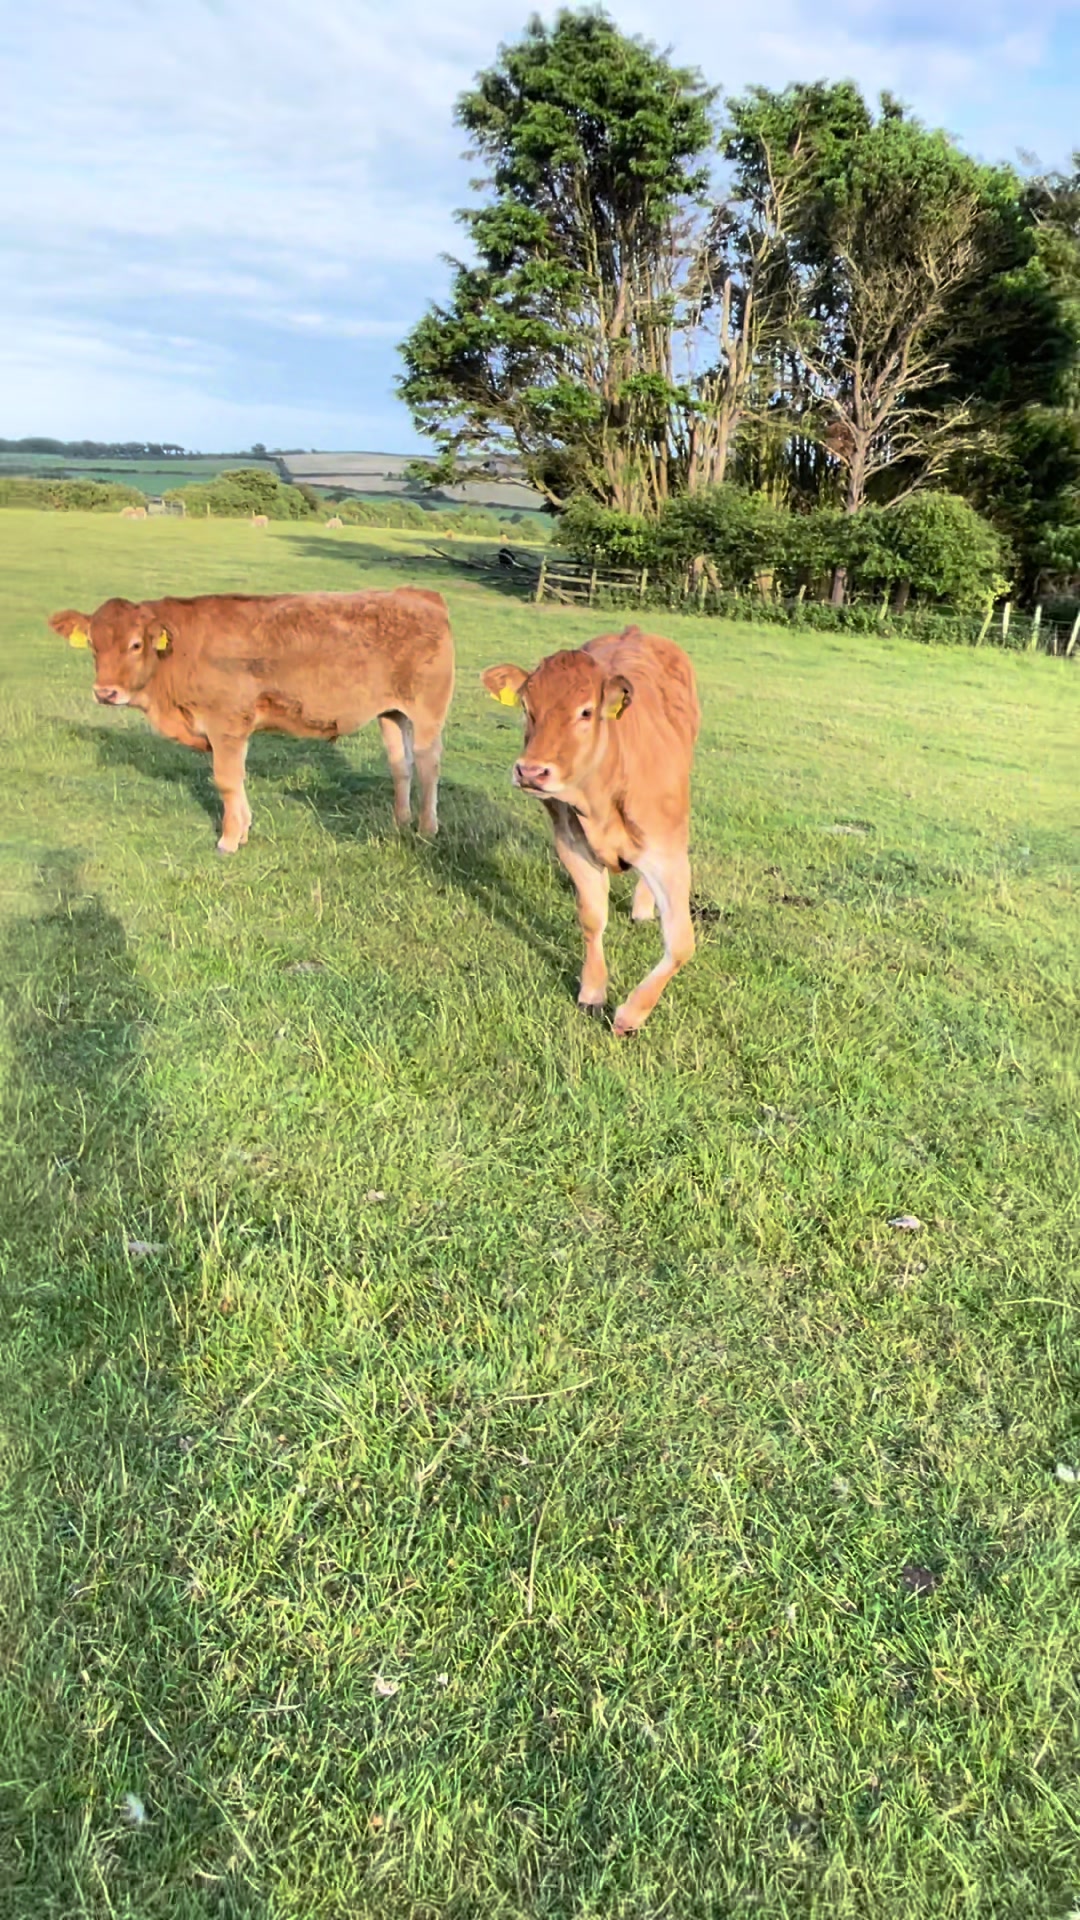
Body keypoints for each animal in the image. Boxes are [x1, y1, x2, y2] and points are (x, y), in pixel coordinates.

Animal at [49, 590, 454, 854]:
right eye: (92, 644)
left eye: (135, 644)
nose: (106, 692)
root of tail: (418, 594)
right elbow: (237, 781)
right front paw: (242, 829)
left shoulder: (226, 724)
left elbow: (226, 781)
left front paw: (228, 840)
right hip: (393, 714)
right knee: (401, 765)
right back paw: (401, 821)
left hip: (427, 712)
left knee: (428, 764)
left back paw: (426, 829)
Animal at [482, 626, 699, 1035]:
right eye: (526, 707)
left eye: (586, 711)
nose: (531, 771)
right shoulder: (571, 844)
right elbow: (592, 917)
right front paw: (592, 993)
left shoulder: (668, 852)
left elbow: (680, 943)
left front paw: (632, 1014)